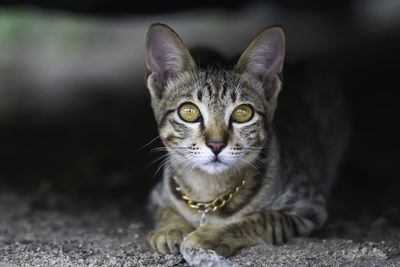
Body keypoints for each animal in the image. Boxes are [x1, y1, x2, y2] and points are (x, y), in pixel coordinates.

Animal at [143, 24, 346, 258]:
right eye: (189, 112)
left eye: (243, 113)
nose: (216, 144)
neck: (209, 192)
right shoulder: (156, 197)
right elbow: (165, 212)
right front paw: (171, 229)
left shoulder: (310, 205)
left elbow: (261, 219)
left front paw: (210, 236)